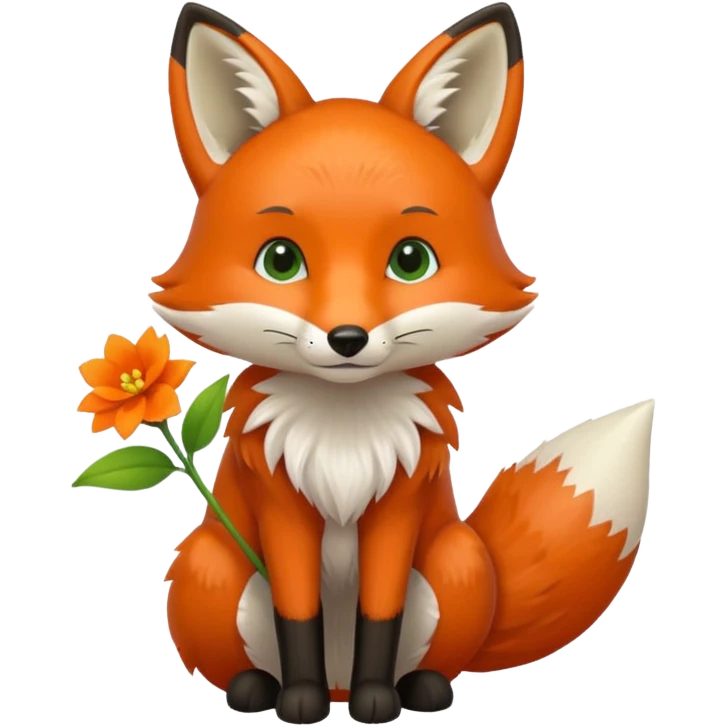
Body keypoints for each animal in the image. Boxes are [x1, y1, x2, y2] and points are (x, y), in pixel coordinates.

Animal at [153, 2, 655, 724]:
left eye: (410, 260)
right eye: (280, 260)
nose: (348, 337)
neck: (342, 432)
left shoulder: (400, 505)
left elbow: (380, 615)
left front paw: (376, 701)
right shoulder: (282, 506)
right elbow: (297, 613)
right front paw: (300, 702)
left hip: (455, 563)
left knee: (433, 653)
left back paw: (417, 687)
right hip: (210, 570)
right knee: (239, 653)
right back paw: (259, 688)